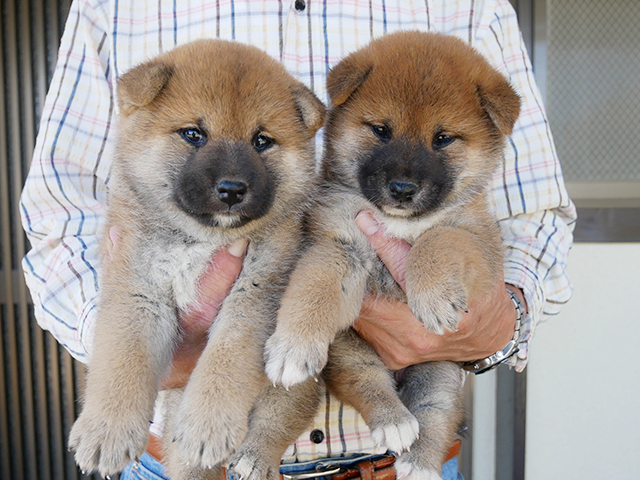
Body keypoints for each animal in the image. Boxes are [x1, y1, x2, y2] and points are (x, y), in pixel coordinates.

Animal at [264, 31, 520, 478]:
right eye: (381, 131)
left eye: (442, 138)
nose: (402, 189)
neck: (398, 221)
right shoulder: (338, 241)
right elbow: (314, 290)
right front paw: (293, 345)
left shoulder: (476, 239)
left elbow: (437, 241)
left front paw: (432, 295)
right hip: (348, 351)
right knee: (371, 384)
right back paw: (394, 420)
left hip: (440, 371)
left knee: (435, 415)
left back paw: (419, 462)